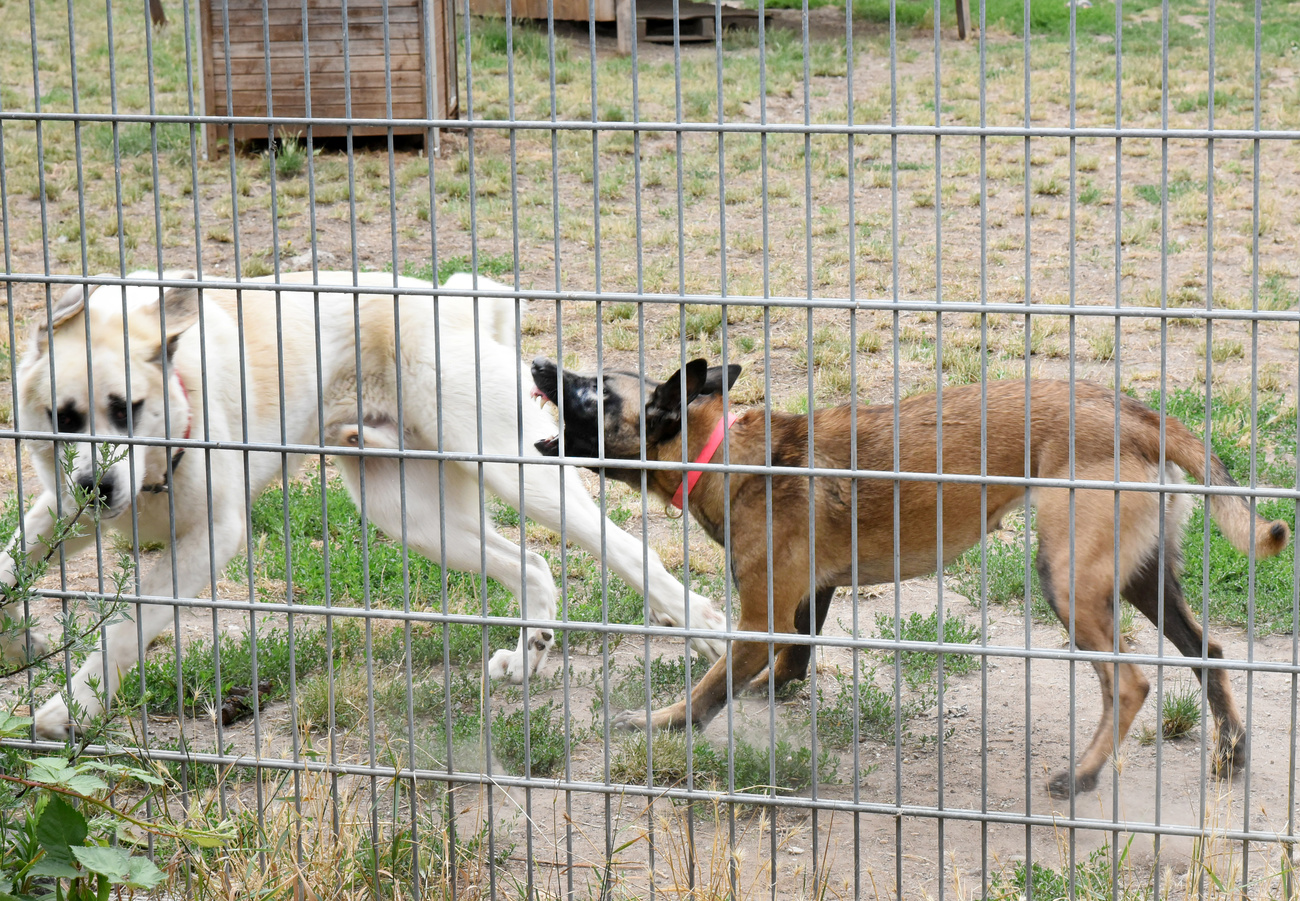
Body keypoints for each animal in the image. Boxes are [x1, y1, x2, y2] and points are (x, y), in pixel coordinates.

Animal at [2, 270, 733, 733]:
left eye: (128, 408)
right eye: (65, 417)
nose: (97, 488)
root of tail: (453, 302)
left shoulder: (209, 540)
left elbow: (126, 628)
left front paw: (71, 709)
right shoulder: (60, 511)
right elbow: (12, 563)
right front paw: (21, 646)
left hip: (514, 471)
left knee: (632, 553)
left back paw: (705, 628)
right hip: (411, 516)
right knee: (530, 565)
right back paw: (527, 656)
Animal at [530, 356, 1289, 795]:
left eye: (594, 392)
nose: (538, 361)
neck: (719, 450)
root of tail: (1135, 412)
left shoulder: (760, 616)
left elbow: (708, 688)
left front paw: (660, 720)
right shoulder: (808, 595)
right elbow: (794, 657)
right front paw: (770, 688)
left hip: (1070, 583)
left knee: (1128, 684)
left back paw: (1083, 775)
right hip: (1141, 580)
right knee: (1208, 649)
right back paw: (1232, 748)